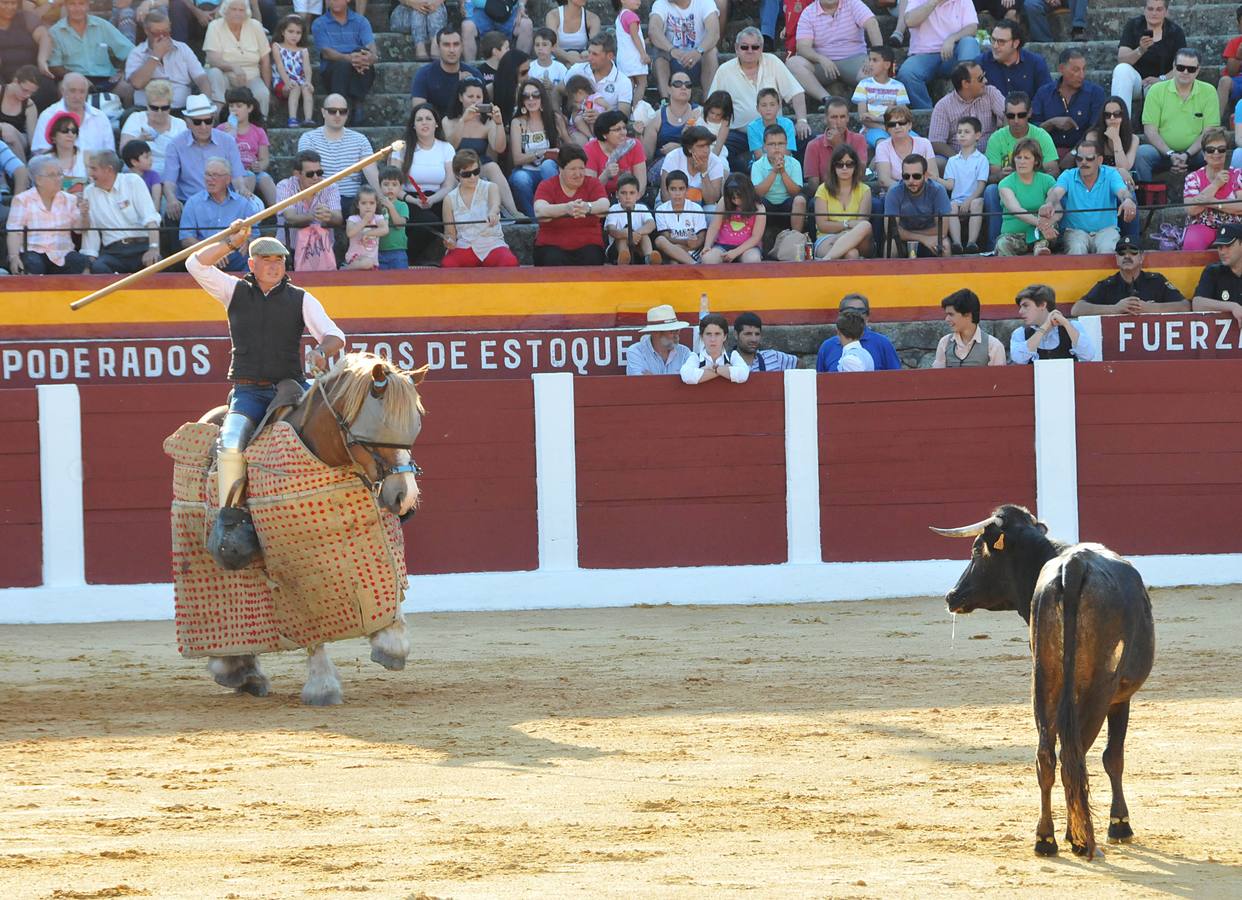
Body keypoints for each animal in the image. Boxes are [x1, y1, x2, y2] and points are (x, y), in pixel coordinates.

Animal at [194, 350, 427, 700]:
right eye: (374, 434)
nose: (405, 496)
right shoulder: (292, 558)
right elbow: (309, 611)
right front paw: (322, 685)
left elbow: (389, 589)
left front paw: (391, 644)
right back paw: (233, 667)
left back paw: (245, 673)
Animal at [933, 501, 1157, 859]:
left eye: (975, 550)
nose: (951, 596)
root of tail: (1073, 567)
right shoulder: (1121, 698)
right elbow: (1113, 757)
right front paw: (1119, 824)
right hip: (1098, 691)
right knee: (1073, 757)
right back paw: (1080, 840)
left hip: (1043, 684)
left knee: (1046, 757)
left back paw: (1046, 838)